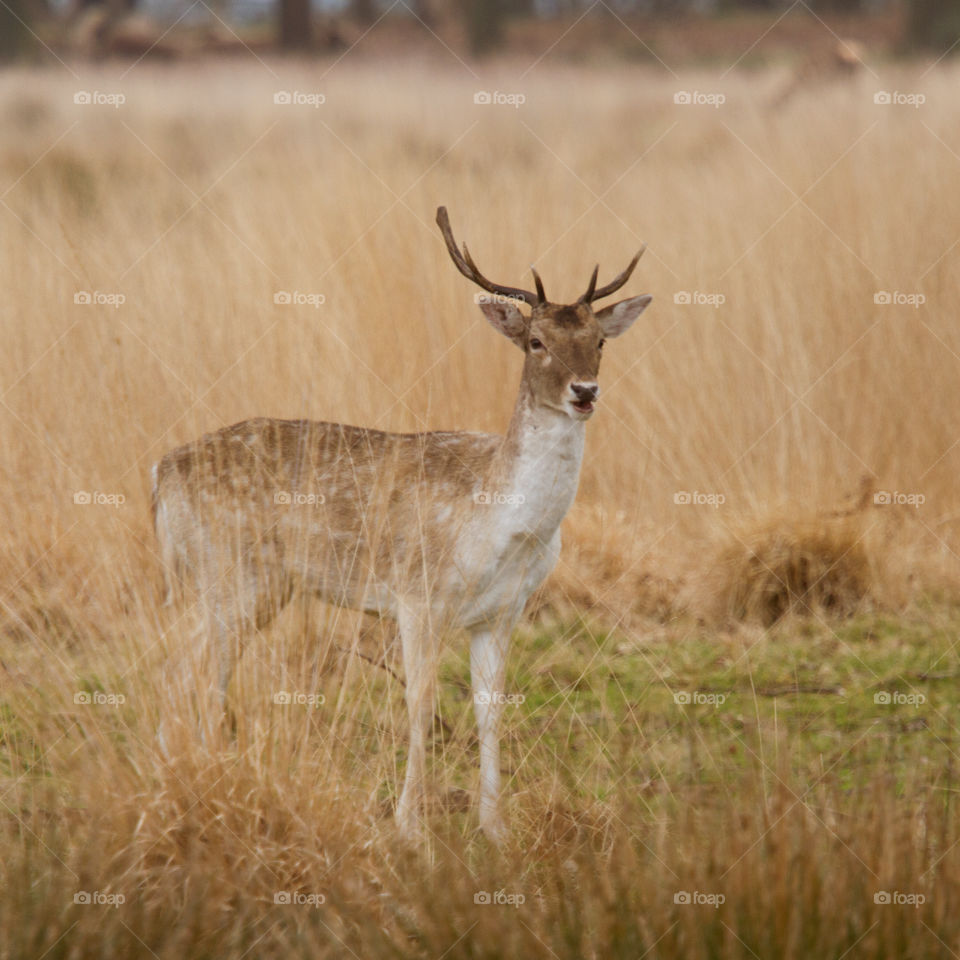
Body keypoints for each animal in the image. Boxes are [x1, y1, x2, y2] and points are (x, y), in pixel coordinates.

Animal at [154, 208, 652, 840]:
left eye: (600, 341)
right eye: (536, 341)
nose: (584, 391)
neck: (499, 523)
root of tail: (159, 473)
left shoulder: (503, 611)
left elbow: (491, 709)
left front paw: (495, 828)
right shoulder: (417, 596)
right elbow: (419, 703)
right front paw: (410, 829)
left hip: (248, 587)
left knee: (203, 676)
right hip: (227, 576)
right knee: (181, 672)